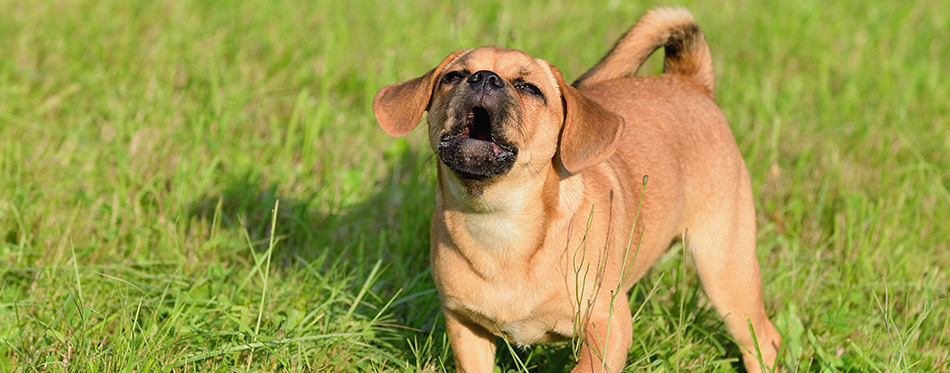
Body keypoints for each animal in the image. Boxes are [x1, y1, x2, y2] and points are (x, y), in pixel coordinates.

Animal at [376, 6, 784, 372]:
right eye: (453, 76)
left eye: (529, 88)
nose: (484, 78)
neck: (499, 221)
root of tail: (689, 81)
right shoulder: (467, 329)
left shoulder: (607, 327)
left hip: (725, 272)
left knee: (764, 340)